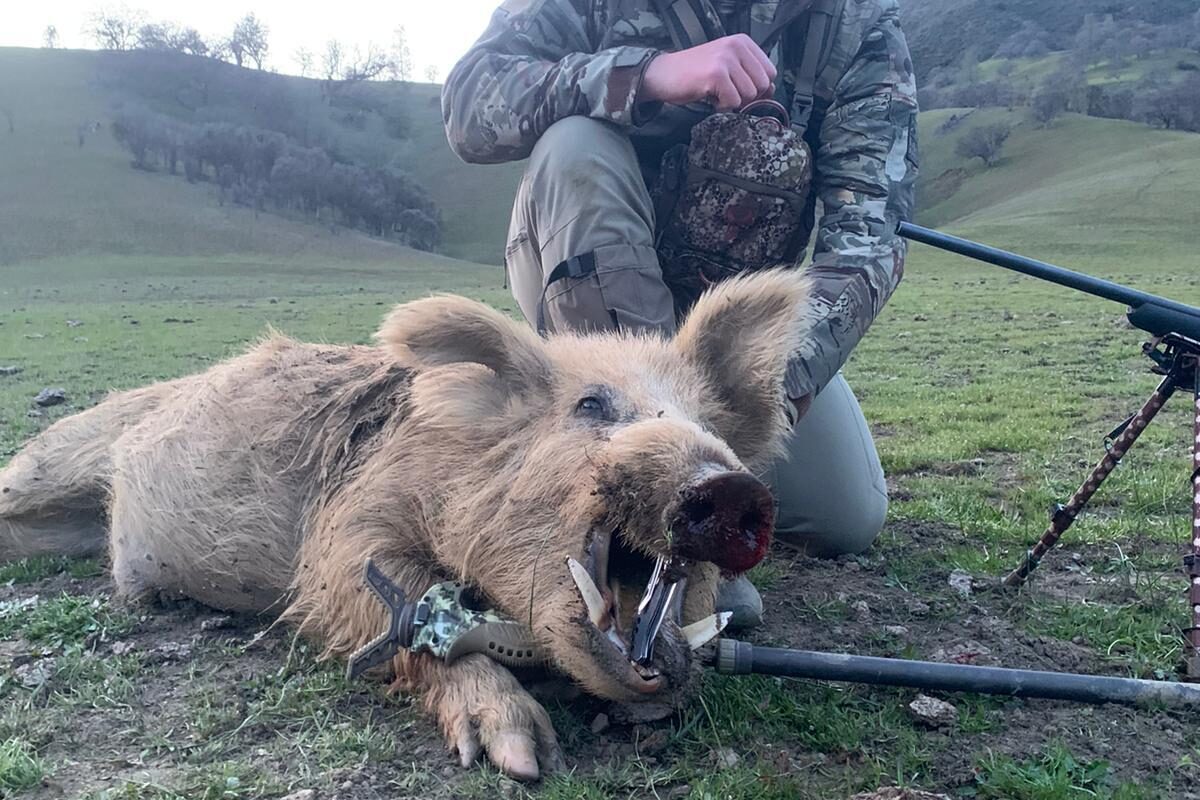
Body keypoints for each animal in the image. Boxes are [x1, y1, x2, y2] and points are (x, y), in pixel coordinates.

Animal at [0, 269, 809, 780]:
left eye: (711, 426)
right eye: (591, 406)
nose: (732, 486)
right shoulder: (347, 530)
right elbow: (388, 603)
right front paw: (522, 759)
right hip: (52, 459)